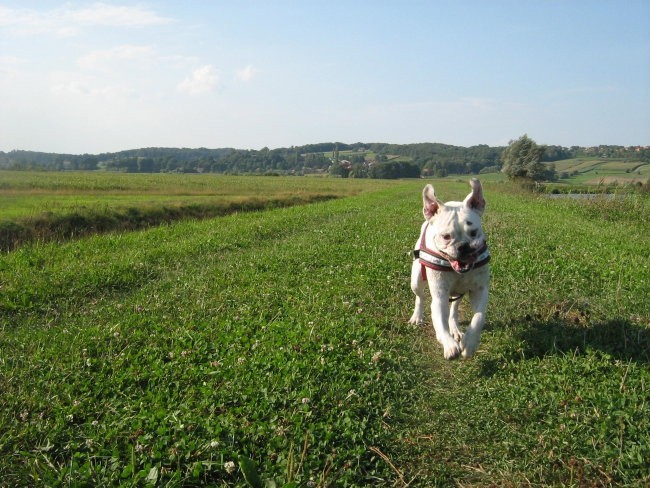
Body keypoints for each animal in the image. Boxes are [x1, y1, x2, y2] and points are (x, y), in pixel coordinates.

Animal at [408, 179, 488, 358]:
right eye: (445, 236)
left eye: (474, 232)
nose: (463, 246)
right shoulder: (440, 297)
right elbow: (440, 322)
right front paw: (449, 345)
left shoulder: (480, 291)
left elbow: (478, 318)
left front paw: (470, 343)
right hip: (416, 280)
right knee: (420, 297)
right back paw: (417, 316)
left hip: (458, 292)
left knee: (454, 309)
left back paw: (455, 328)